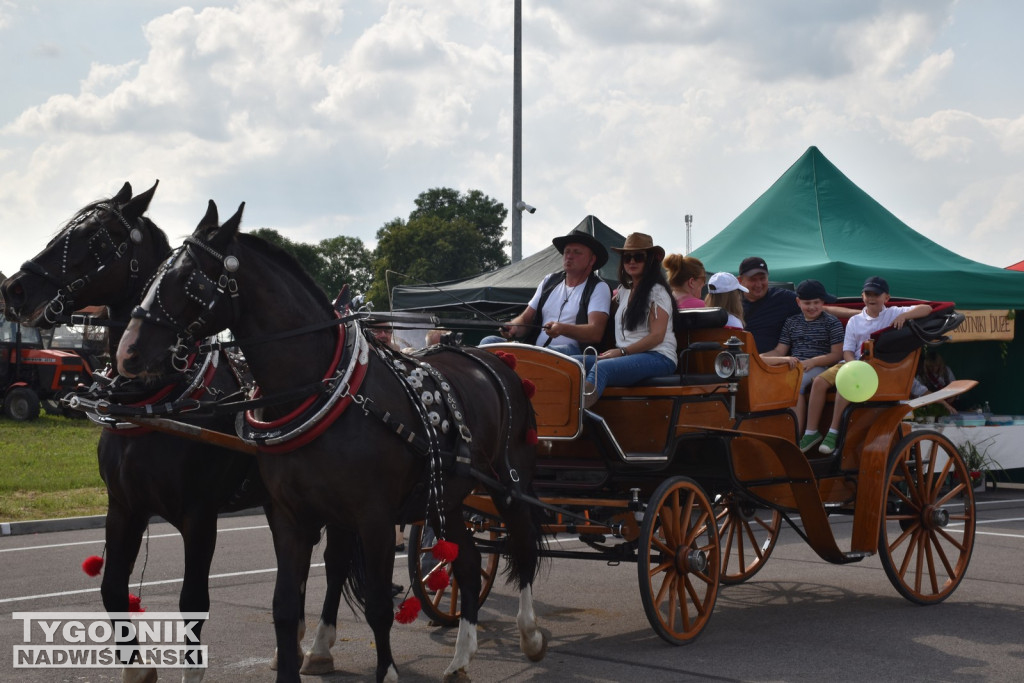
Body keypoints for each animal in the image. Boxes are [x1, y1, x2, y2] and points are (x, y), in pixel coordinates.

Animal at [2, 183, 358, 683]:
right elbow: (112, 590)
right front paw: (137, 669)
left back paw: (321, 647)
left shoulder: (200, 515)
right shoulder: (124, 507)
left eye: (97, 236)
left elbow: (193, 601)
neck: (156, 397)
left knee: (337, 558)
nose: (14, 287)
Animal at [115, 201, 548, 683]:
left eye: (188, 279)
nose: (127, 353)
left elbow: (378, 606)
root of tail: (495, 358)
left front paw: (386, 672)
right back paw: (460, 658)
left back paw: (529, 635)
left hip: (508, 485)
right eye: (155, 275)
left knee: (522, 548)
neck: (322, 389)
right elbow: (285, 607)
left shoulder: (374, 518)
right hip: (450, 496)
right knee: (469, 565)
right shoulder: (291, 516)